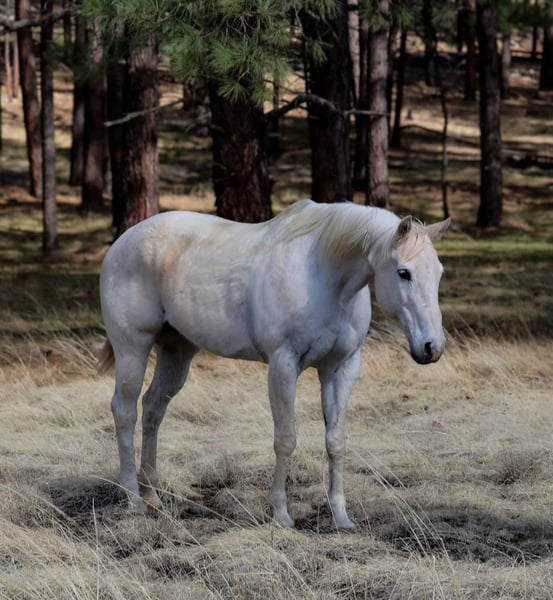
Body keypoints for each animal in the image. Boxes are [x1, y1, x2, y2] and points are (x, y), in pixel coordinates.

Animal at [99, 199, 450, 529]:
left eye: (439, 272)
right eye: (404, 272)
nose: (432, 347)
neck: (323, 274)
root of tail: (122, 243)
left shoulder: (341, 369)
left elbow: (335, 441)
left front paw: (340, 516)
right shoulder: (283, 364)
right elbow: (285, 439)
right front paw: (280, 514)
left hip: (177, 352)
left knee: (153, 408)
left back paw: (152, 495)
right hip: (132, 350)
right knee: (125, 412)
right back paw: (134, 500)